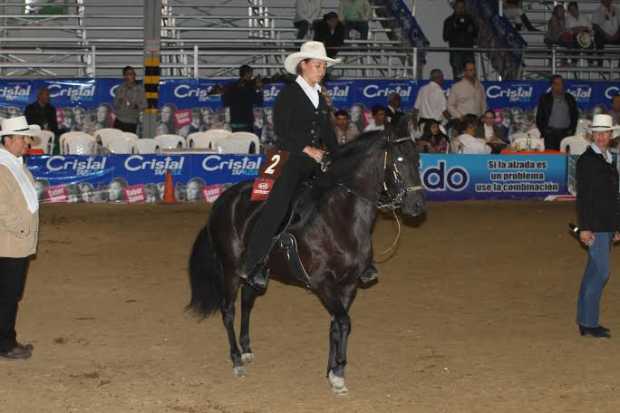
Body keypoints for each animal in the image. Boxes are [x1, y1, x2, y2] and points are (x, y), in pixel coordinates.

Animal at [187, 131, 426, 394]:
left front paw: (333, 372)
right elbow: (344, 322)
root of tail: (224, 199)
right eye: (400, 160)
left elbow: (336, 325)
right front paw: (338, 373)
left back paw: (247, 349)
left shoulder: (348, 285)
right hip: (229, 269)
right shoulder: (323, 283)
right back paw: (237, 360)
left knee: (247, 303)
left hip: (256, 271)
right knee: (228, 310)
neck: (338, 217)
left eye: (418, 160)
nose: (417, 205)